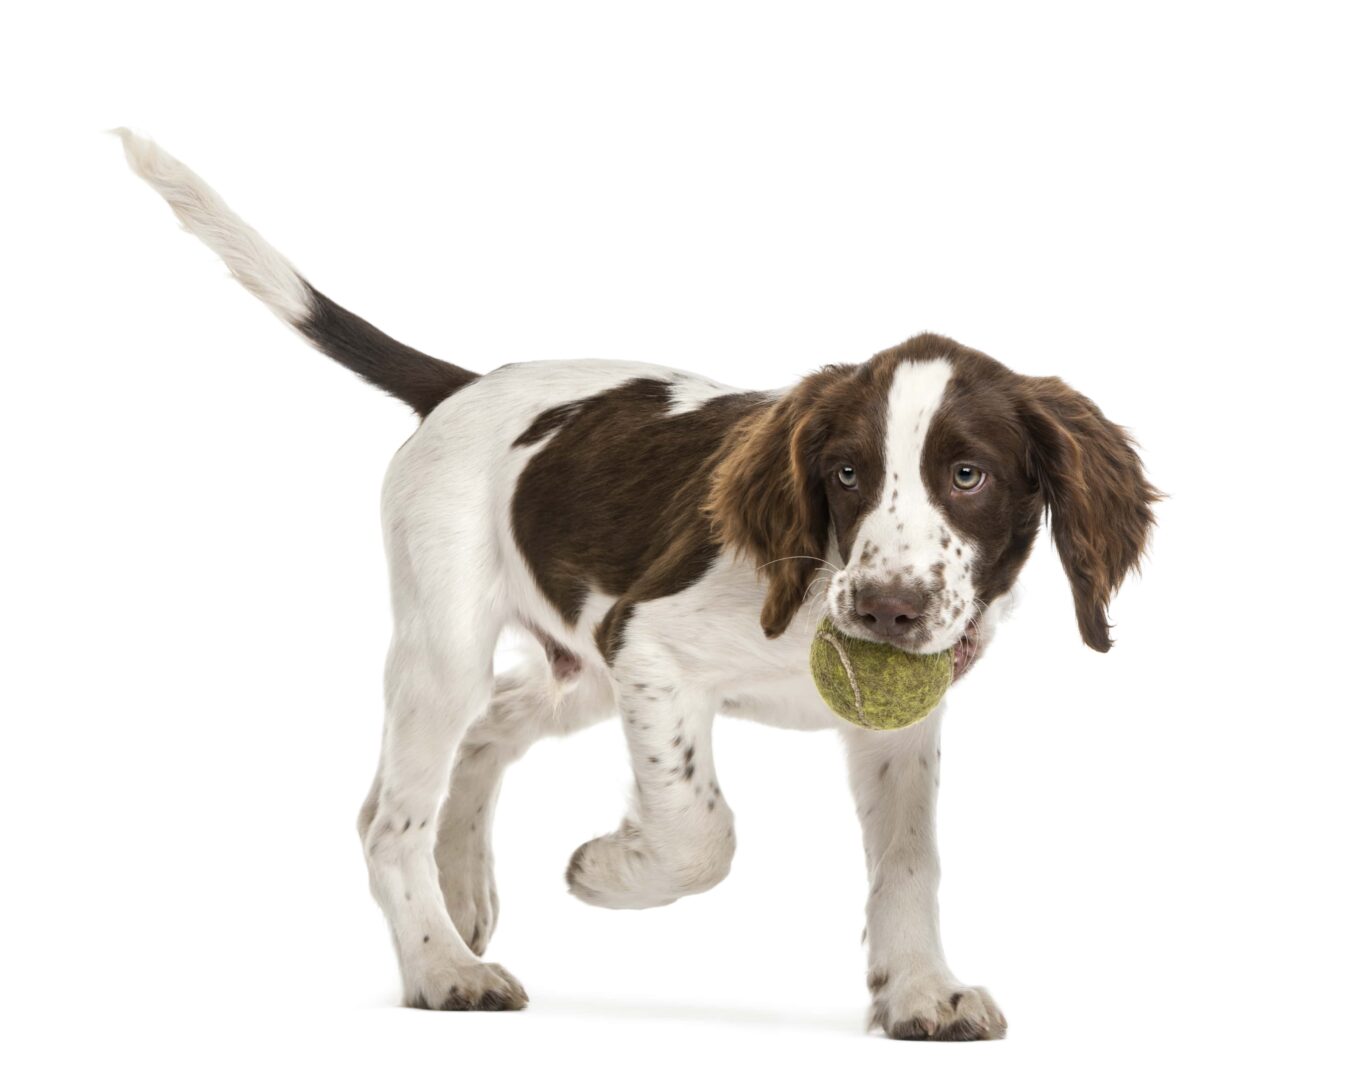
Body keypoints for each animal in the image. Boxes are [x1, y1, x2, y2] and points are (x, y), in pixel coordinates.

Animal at [119, 131, 1157, 1043]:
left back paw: (461, 890)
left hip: (574, 669)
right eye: (846, 473)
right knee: (390, 814)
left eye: (969, 475)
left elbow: (909, 861)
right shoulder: (647, 644)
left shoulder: (894, 723)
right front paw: (606, 871)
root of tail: (462, 386)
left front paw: (921, 993)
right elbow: (702, 832)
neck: (817, 580)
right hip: (450, 641)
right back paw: (442, 966)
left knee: (485, 733)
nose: (884, 611)